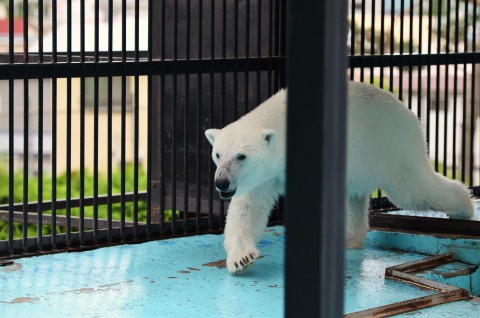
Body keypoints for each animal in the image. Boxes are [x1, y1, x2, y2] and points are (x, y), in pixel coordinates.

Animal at [204, 80, 474, 272]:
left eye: (241, 156)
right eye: (218, 154)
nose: (222, 182)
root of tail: (410, 113)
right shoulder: (262, 176)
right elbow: (248, 209)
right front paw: (242, 258)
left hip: (393, 147)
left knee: (414, 188)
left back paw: (465, 206)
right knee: (355, 197)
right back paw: (349, 238)